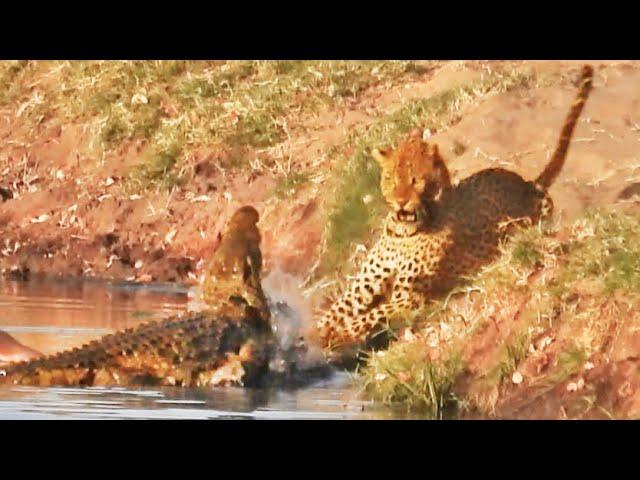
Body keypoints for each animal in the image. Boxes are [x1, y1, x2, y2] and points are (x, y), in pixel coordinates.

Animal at [318, 63, 596, 350]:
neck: (402, 232)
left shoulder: (409, 296)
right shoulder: (365, 283)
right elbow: (335, 310)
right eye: (390, 179)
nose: (400, 201)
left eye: (415, 180)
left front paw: (338, 334)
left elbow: (369, 315)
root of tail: (527, 183)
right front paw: (319, 331)